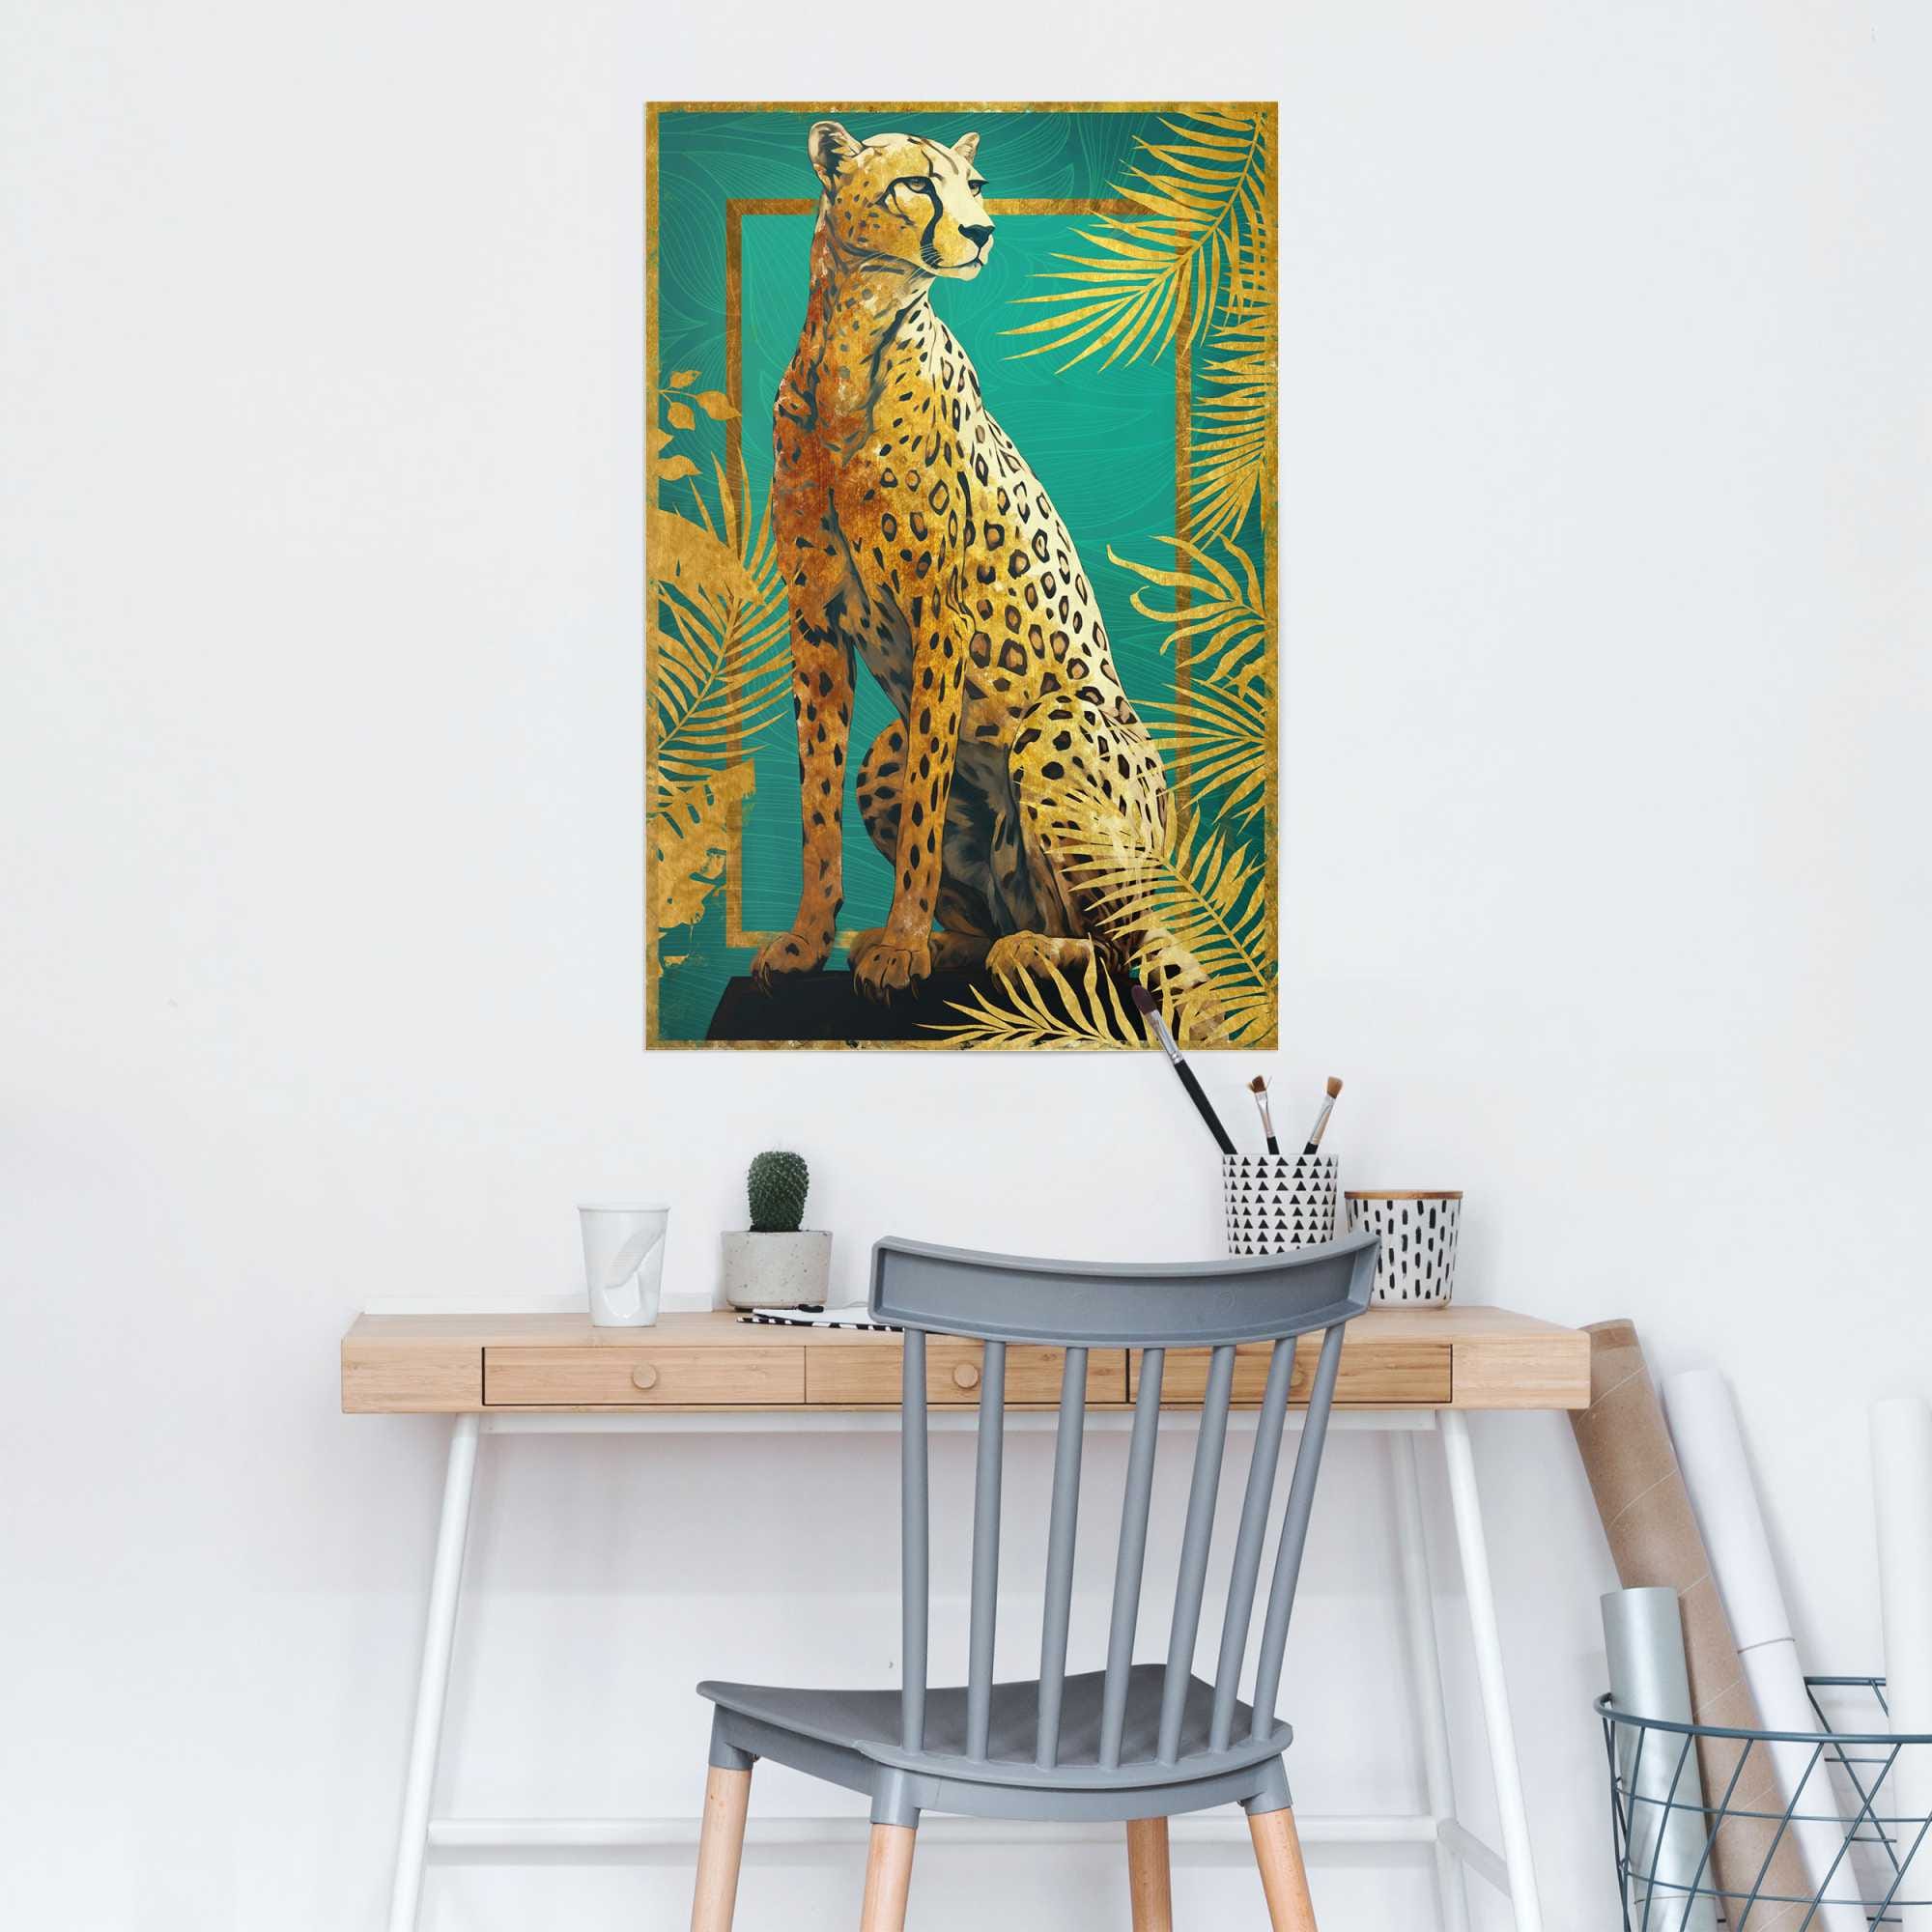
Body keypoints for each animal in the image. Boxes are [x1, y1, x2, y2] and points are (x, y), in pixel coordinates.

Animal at [749, 119, 1213, 1030]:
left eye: (976, 183)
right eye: (916, 184)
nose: (984, 232)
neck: (854, 343)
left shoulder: (940, 615)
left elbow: (926, 809)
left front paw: (900, 950)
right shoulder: (813, 618)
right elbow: (816, 803)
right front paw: (810, 943)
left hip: (1057, 732)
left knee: (1131, 952)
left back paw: (1023, 952)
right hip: (885, 754)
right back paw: (945, 944)